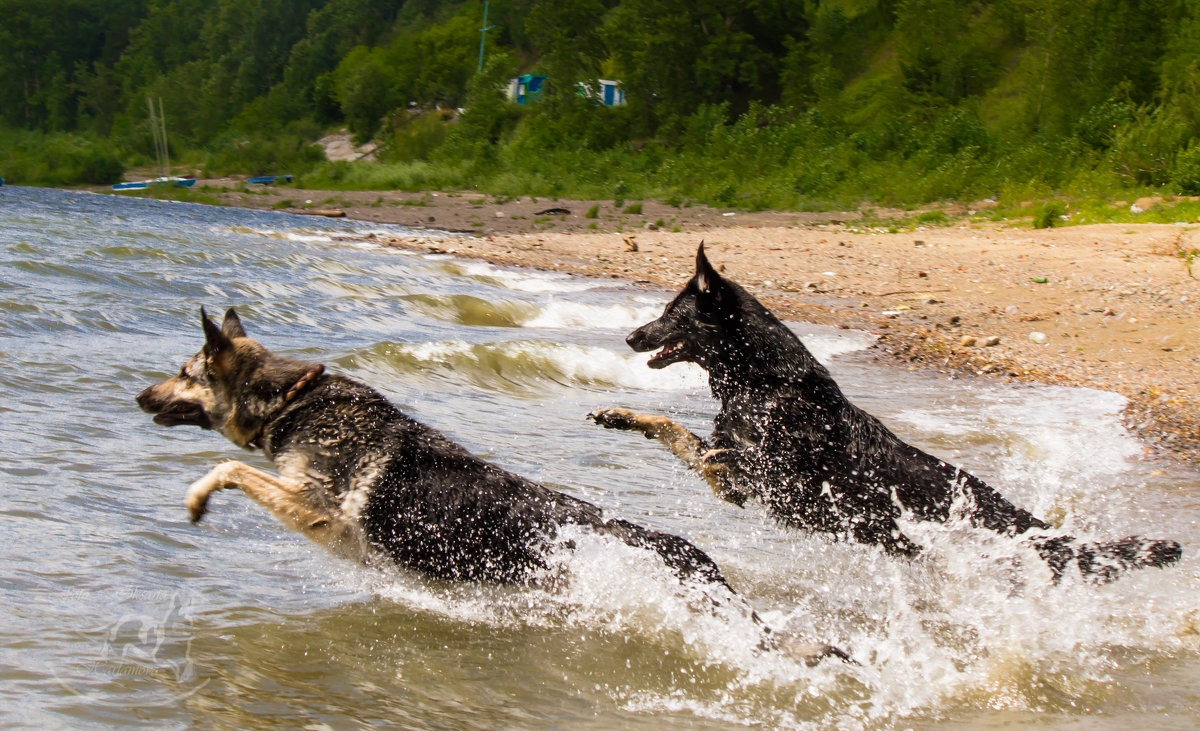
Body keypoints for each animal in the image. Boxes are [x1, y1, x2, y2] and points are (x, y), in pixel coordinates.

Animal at [590, 244, 1180, 580]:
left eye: (672, 312)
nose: (630, 336)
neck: (763, 381)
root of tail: (1030, 522)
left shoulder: (764, 477)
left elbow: (718, 453)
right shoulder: (731, 477)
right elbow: (672, 430)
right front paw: (621, 416)